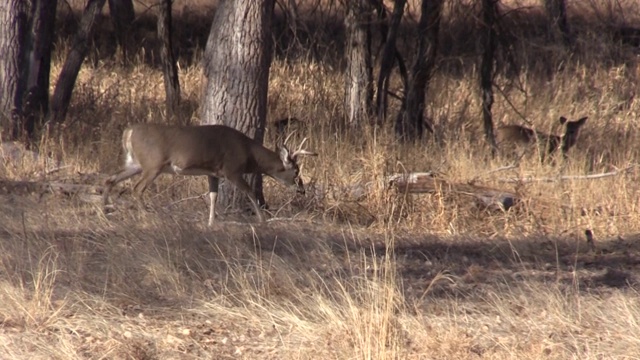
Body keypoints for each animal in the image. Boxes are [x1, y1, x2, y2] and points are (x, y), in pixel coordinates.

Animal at [102, 124, 318, 225]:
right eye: (296, 171)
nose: (302, 190)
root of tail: (128, 132)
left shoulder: (212, 173)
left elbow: (213, 196)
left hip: (135, 163)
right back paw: (147, 216)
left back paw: (105, 210)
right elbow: (250, 192)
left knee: (110, 179)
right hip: (153, 164)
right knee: (136, 188)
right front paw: (262, 220)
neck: (248, 154)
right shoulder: (232, 170)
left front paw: (211, 222)